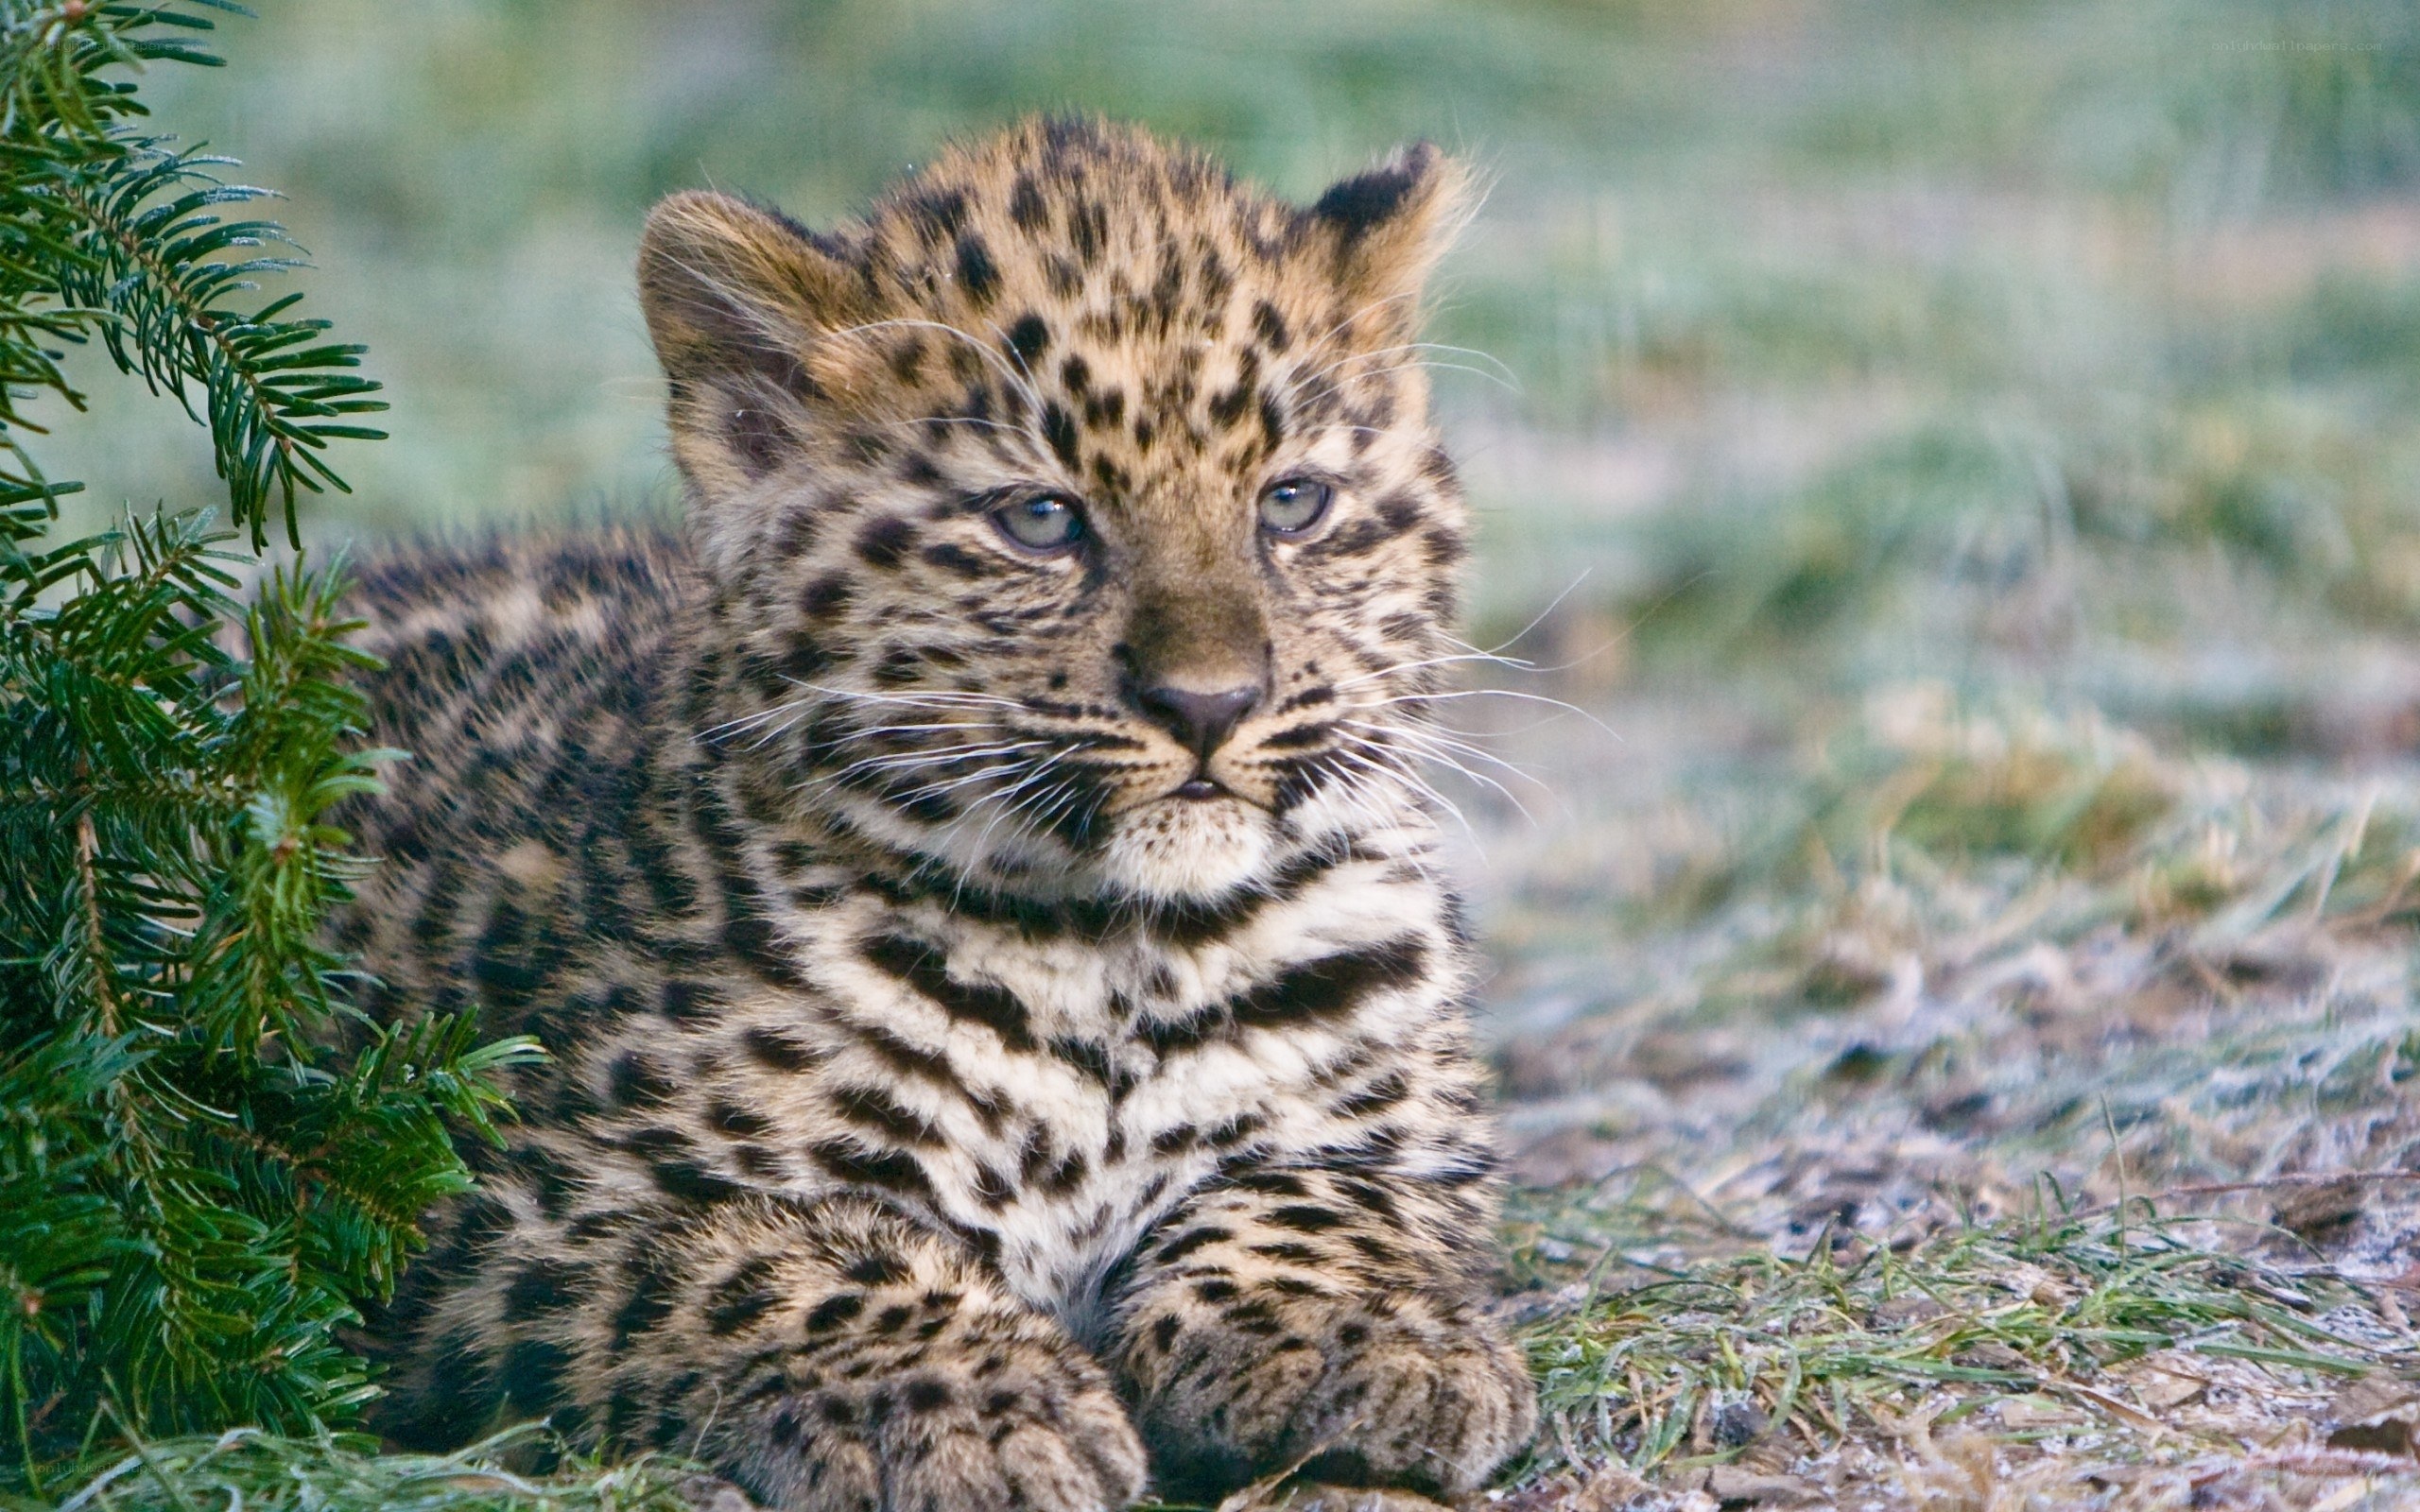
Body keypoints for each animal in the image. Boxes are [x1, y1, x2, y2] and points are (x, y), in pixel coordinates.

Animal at [339, 116, 1536, 1511]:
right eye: (1042, 520)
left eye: (1291, 503)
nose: (1210, 702)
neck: (1118, 959)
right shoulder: (492, 1204)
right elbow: (773, 1254)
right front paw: (973, 1405)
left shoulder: (1400, 1140)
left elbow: (1318, 1197)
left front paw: (1352, 1337)